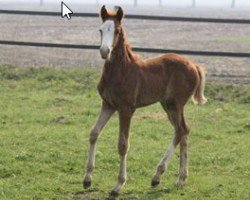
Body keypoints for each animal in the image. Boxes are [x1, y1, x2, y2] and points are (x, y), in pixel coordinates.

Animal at [83, 5, 206, 196]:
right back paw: (180, 179)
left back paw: (157, 176)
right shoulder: (108, 105)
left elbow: (123, 144)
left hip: (175, 104)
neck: (121, 71)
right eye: (101, 30)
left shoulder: (126, 109)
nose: (104, 51)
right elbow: (94, 133)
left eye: (117, 30)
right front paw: (87, 179)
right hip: (168, 105)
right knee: (184, 131)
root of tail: (194, 65)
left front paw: (118, 185)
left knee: (180, 131)